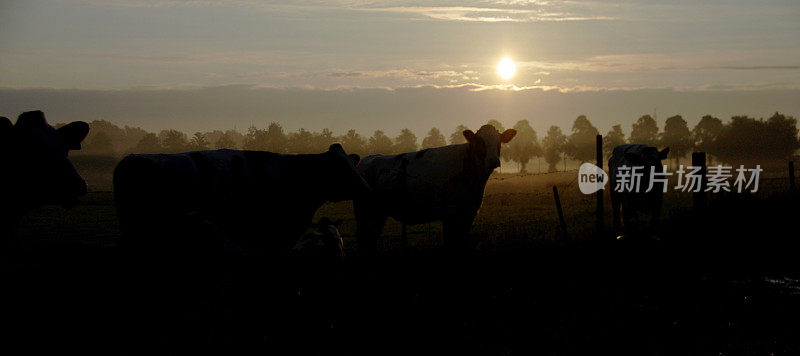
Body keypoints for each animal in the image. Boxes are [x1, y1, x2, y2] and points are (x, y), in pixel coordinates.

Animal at [354, 125, 516, 253]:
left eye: (499, 141)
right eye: (479, 142)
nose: (493, 160)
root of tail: (366, 160)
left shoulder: (468, 213)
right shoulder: (450, 214)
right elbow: (451, 244)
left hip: (378, 214)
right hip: (364, 212)